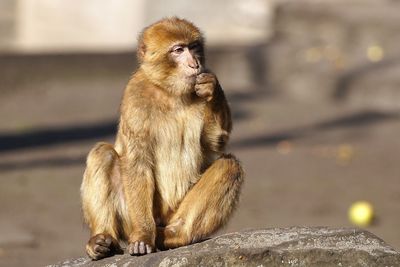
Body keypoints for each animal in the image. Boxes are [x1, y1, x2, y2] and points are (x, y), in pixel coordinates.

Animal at [80, 17, 244, 260]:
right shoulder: (135, 97)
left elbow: (215, 142)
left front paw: (212, 88)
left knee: (229, 165)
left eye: (194, 47)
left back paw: (177, 235)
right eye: (178, 50)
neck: (170, 92)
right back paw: (103, 240)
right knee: (102, 153)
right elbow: (137, 162)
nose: (194, 64)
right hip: (130, 219)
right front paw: (143, 236)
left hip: (174, 213)